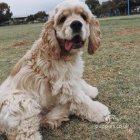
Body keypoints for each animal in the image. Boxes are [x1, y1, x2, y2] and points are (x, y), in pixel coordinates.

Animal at [0, 0, 110, 139]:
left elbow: (81, 84)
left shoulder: (72, 76)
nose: (76, 24)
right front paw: (100, 112)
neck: (62, 52)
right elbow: (82, 100)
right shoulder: (65, 84)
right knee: (26, 134)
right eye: (62, 19)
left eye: (84, 16)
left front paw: (91, 90)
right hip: (22, 103)